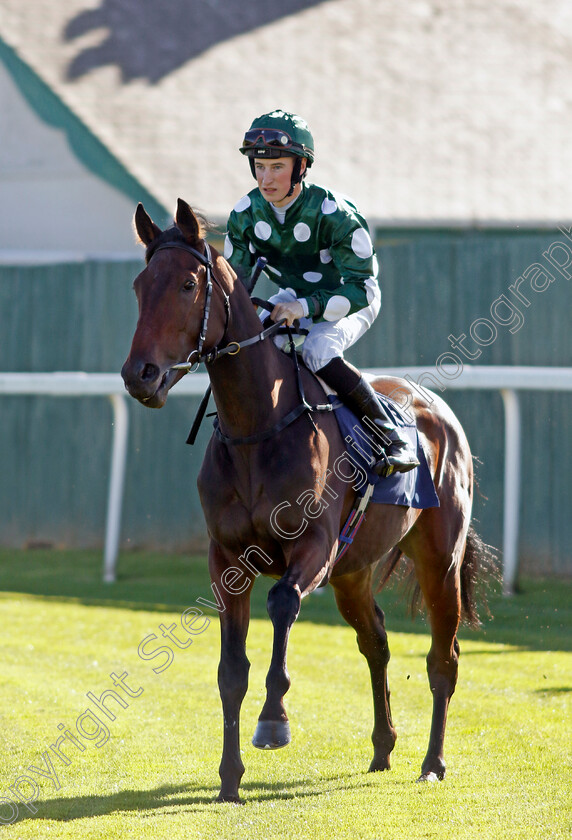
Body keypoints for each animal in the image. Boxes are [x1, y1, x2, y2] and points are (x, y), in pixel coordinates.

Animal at [122, 200, 496, 804]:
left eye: (187, 283)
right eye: (139, 286)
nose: (140, 375)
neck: (258, 427)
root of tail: (436, 408)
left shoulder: (314, 548)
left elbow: (281, 606)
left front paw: (273, 721)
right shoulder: (227, 561)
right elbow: (231, 671)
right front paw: (229, 780)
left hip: (438, 559)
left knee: (444, 658)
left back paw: (432, 762)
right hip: (353, 571)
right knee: (376, 642)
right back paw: (383, 747)